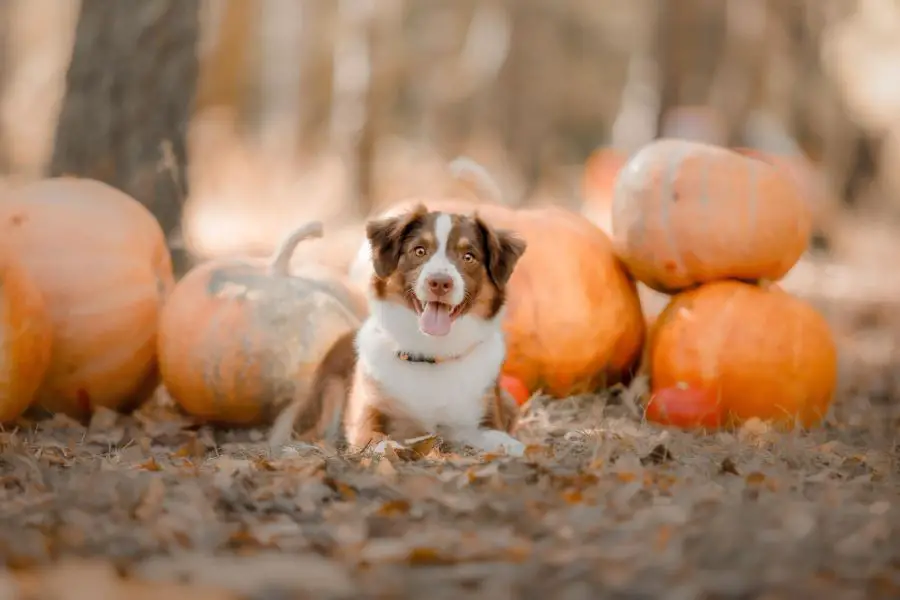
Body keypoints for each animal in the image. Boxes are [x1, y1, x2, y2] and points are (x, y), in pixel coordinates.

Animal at [270, 202, 532, 454]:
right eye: (419, 251)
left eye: (468, 256)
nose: (439, 283)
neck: (430, 353)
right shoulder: (366, 418)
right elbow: (377, 439)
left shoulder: (477, 422)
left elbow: (501, 439)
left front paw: (515, 447)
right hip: (328, 393)